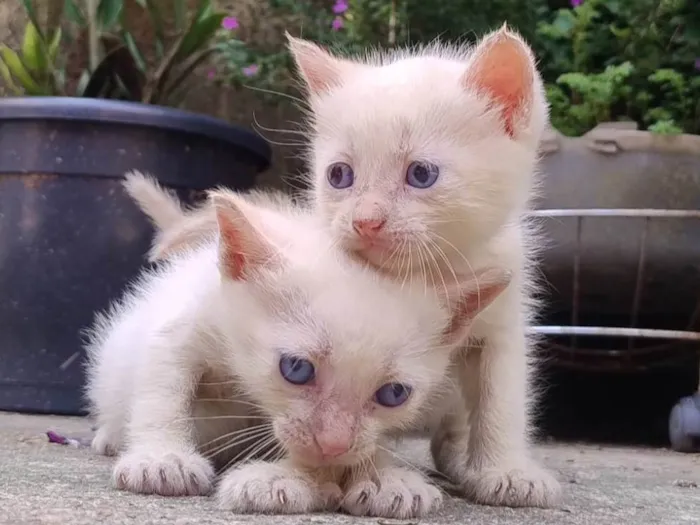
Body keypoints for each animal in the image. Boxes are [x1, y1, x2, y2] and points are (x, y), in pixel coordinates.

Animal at [85, 184, 508, 516]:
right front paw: (161, 460)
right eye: (297, 368)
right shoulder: (187, 322)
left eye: (394, 393)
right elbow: (163, 388)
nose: (334, 444)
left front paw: (381, 477)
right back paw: (109, 436)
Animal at [286, 25, 564, 508]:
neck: (432, 270)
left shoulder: (504, 320)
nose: (366, 220)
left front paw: (506, 471)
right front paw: (383, 480)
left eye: (421, 174)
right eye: (339, 175)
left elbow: (501, 398)